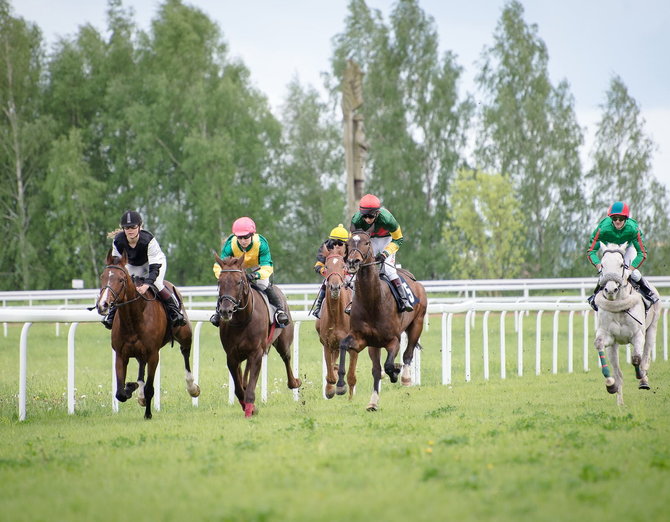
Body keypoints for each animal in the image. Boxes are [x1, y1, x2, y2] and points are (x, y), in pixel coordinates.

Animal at [94, 249, 201, 418]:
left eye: (121, 280)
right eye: (102, 277)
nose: (103, 305)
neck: (133, 319)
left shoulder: (153, 355)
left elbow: (150, 388)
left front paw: (148, 414)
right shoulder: (121, 355)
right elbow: (120, 393)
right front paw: (132, 388)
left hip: (185, 335)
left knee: (185, 353)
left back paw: (192, 387)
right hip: (139, 352)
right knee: (140, 365)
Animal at [215, 254, 302, 416]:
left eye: (239, 282)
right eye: (219, 281)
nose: (225, 311)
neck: (242, 321)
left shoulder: (256, 353)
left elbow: (250, 388)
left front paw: (250, 409)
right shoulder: (231, 355)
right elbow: (238, 388)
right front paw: (248, 406)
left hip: (282, 341)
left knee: (286, 358)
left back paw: (294, 382)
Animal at [316, 244, 360, 398]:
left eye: (343, 266)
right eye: (326, 266)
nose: (335, 287)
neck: (336, 316)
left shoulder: (351, 344)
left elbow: (351, 375)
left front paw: (345, 391)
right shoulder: (327, 343)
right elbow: (330, 372)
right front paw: (330, 389)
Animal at [338, 230, 428, 408]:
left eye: (366, 243)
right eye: (349, 243)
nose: (352, 261)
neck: (373, 302)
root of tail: (415, 281)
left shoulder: (394, 340)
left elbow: (388, 365)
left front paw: (395, 372)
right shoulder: (363, 340)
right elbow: (344, 345)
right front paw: (340, 385)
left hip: (417, 324)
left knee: (408, 354)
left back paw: (405, 377)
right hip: (375, 345)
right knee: (377, 369)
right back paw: (373, 401)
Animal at [600, 242, 660, 404]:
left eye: (621, 265)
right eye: (602, 264)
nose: (610, 289)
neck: (619, 307)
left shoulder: (638, 335)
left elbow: (636, 359)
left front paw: (641, 376)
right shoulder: (609, 338)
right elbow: (616, 372)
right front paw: (612, 387)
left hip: (652, 328)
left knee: (645, 357)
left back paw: (644, 380)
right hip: (614, 346)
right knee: (618, 372)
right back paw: (620, 401)